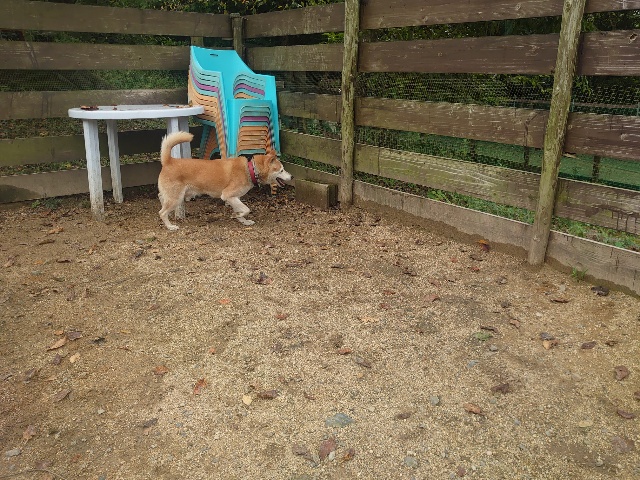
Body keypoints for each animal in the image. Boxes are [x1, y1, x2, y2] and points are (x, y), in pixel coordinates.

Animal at [157, 131, 292, 230]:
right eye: (281, 170)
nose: (292, 177)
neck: (250, 169)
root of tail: (169, 161)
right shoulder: (227, 195)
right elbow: (246, 209)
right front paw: (237, 215)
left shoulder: (234, 198)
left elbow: (242, 210)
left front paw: (243, 220)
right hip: (176, 198)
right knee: (162, 212)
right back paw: (170, 226)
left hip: (173, 196)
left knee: (161, 198)